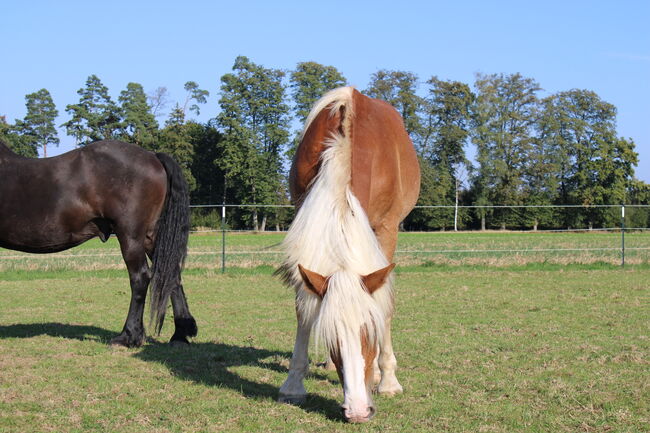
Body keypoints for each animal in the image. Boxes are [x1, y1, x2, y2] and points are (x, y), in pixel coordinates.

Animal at [0, 140, 197, 346]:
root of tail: (152, 156)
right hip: (151, 238)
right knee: (171, 275)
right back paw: (180, 334)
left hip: (131, 236)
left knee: (140, 277)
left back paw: (128, 336)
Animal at [274, 87, 418, 422]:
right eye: (332, 339)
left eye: (368, 333)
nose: (358, 411)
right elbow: (304, 307)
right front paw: (293, 384)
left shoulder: (387, 229)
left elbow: (384, 304)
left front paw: (388, 379)